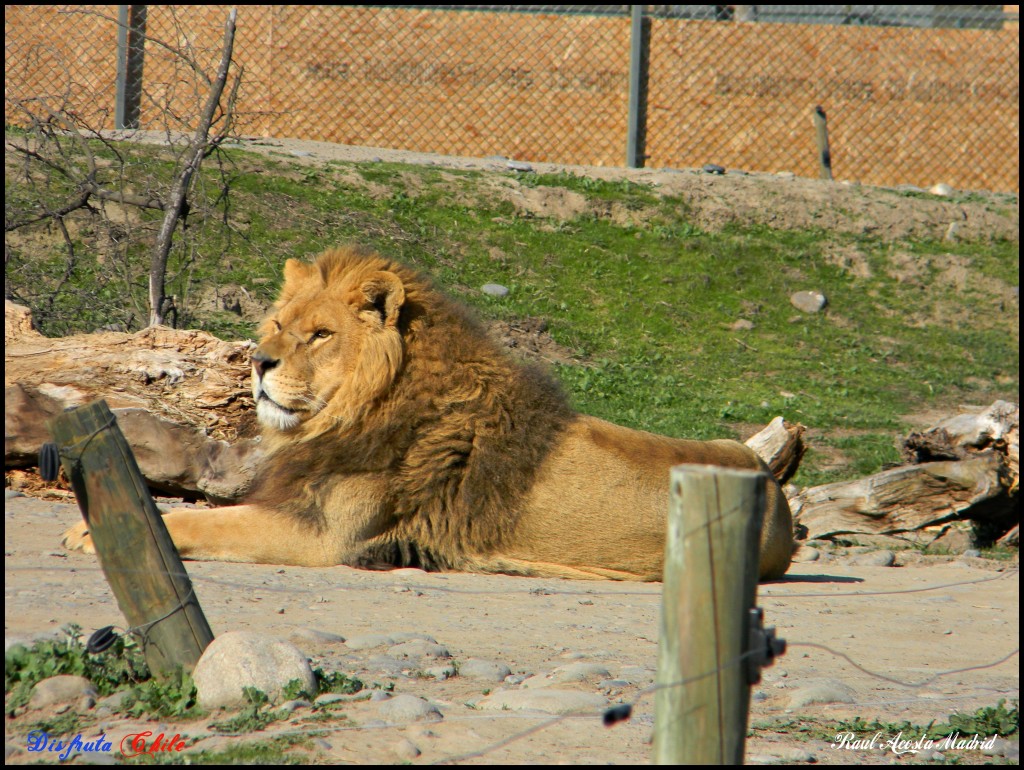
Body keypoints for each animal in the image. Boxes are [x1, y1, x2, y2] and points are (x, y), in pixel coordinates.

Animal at [64, 244, 794, 577]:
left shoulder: (324, 538)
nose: (259, 362)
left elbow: (209, 522)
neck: (352, 413)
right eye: (276, 323)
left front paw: (93, 533)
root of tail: (779, 495)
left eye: (320, 335)